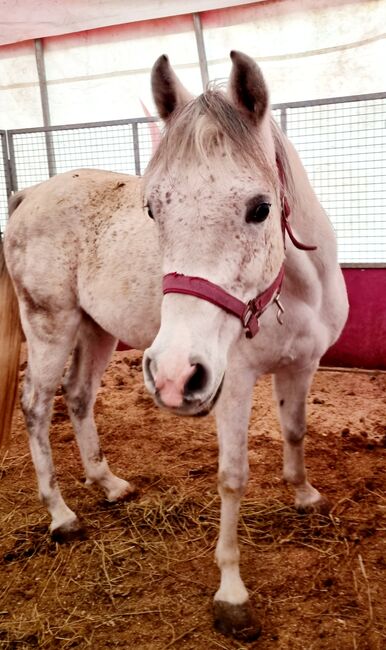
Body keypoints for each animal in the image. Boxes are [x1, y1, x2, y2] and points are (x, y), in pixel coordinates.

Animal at [0, 50, 350, 636]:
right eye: (153, 210)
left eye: (260, 208)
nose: (173, 376)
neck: (293, 289)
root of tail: (28, 196)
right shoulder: (233, 384)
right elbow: (233, 477)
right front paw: (231, 593)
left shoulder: (301, 367)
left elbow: (295, 432)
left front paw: (305, 495)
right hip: (51, 326)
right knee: (36, 404)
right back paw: (62, 514)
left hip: (97, 330)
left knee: (78, 397)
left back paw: (108, 483)